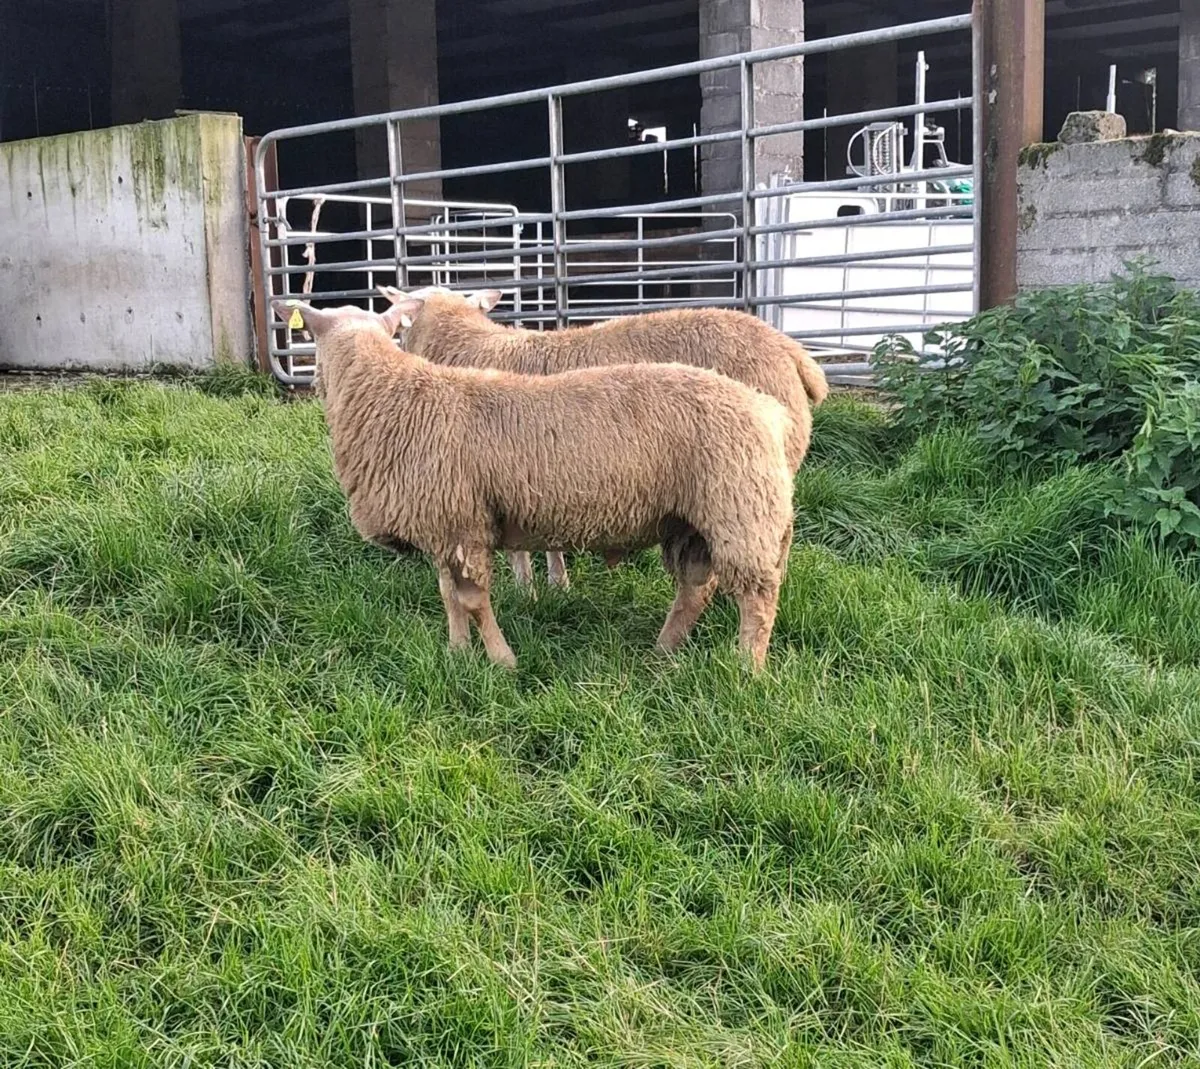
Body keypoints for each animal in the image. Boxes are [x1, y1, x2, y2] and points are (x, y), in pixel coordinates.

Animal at [274, 297, 795, 671]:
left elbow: (472, 598)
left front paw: (503, 661)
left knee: (757, 598)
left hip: (737, 509)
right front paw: (457, 655)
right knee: (695, 591)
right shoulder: (442, 523)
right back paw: (662, 654)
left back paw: (746, 670)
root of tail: (766, 408)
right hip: (692, 521)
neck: (390, 396)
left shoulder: (462, 524)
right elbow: (448, 596)